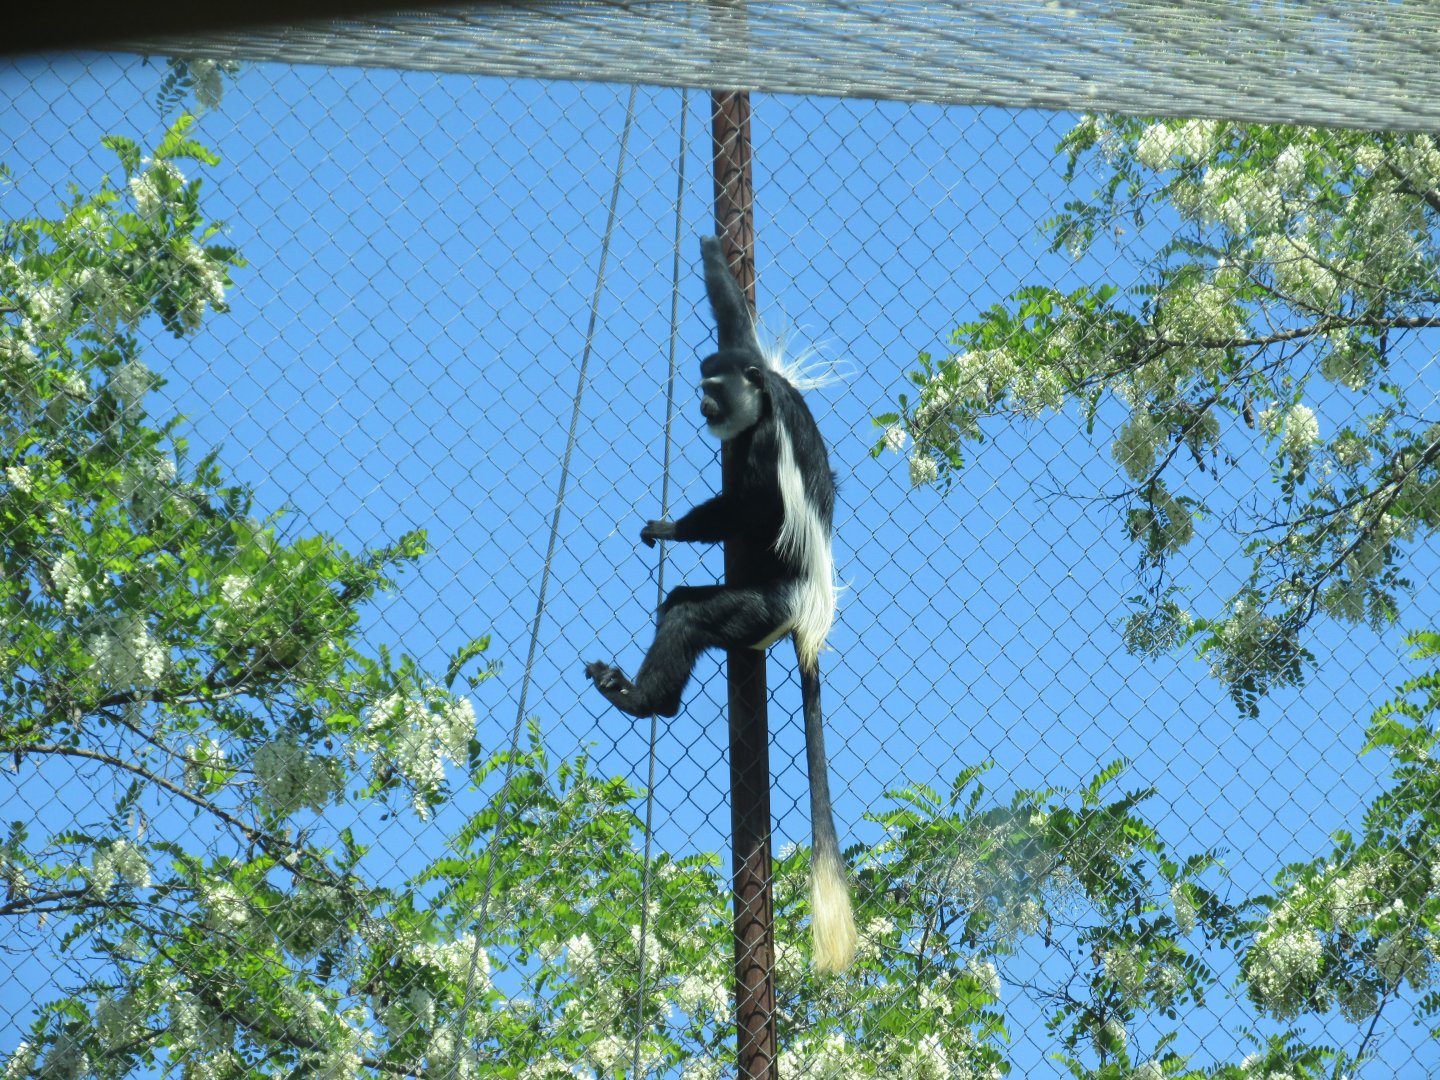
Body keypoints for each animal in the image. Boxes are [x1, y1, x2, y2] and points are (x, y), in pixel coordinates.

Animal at [584, 235, 856, 973]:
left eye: (713, 390)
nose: (703, 409)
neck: (765, 397)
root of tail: (808, 615)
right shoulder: (757, 369)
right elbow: (738, 325)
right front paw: (710, 251)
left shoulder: (764, 442)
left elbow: (756, 510)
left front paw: (674, 528)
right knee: (680, 602)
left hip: (762, 609)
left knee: (691, 617)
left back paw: (640, 699)